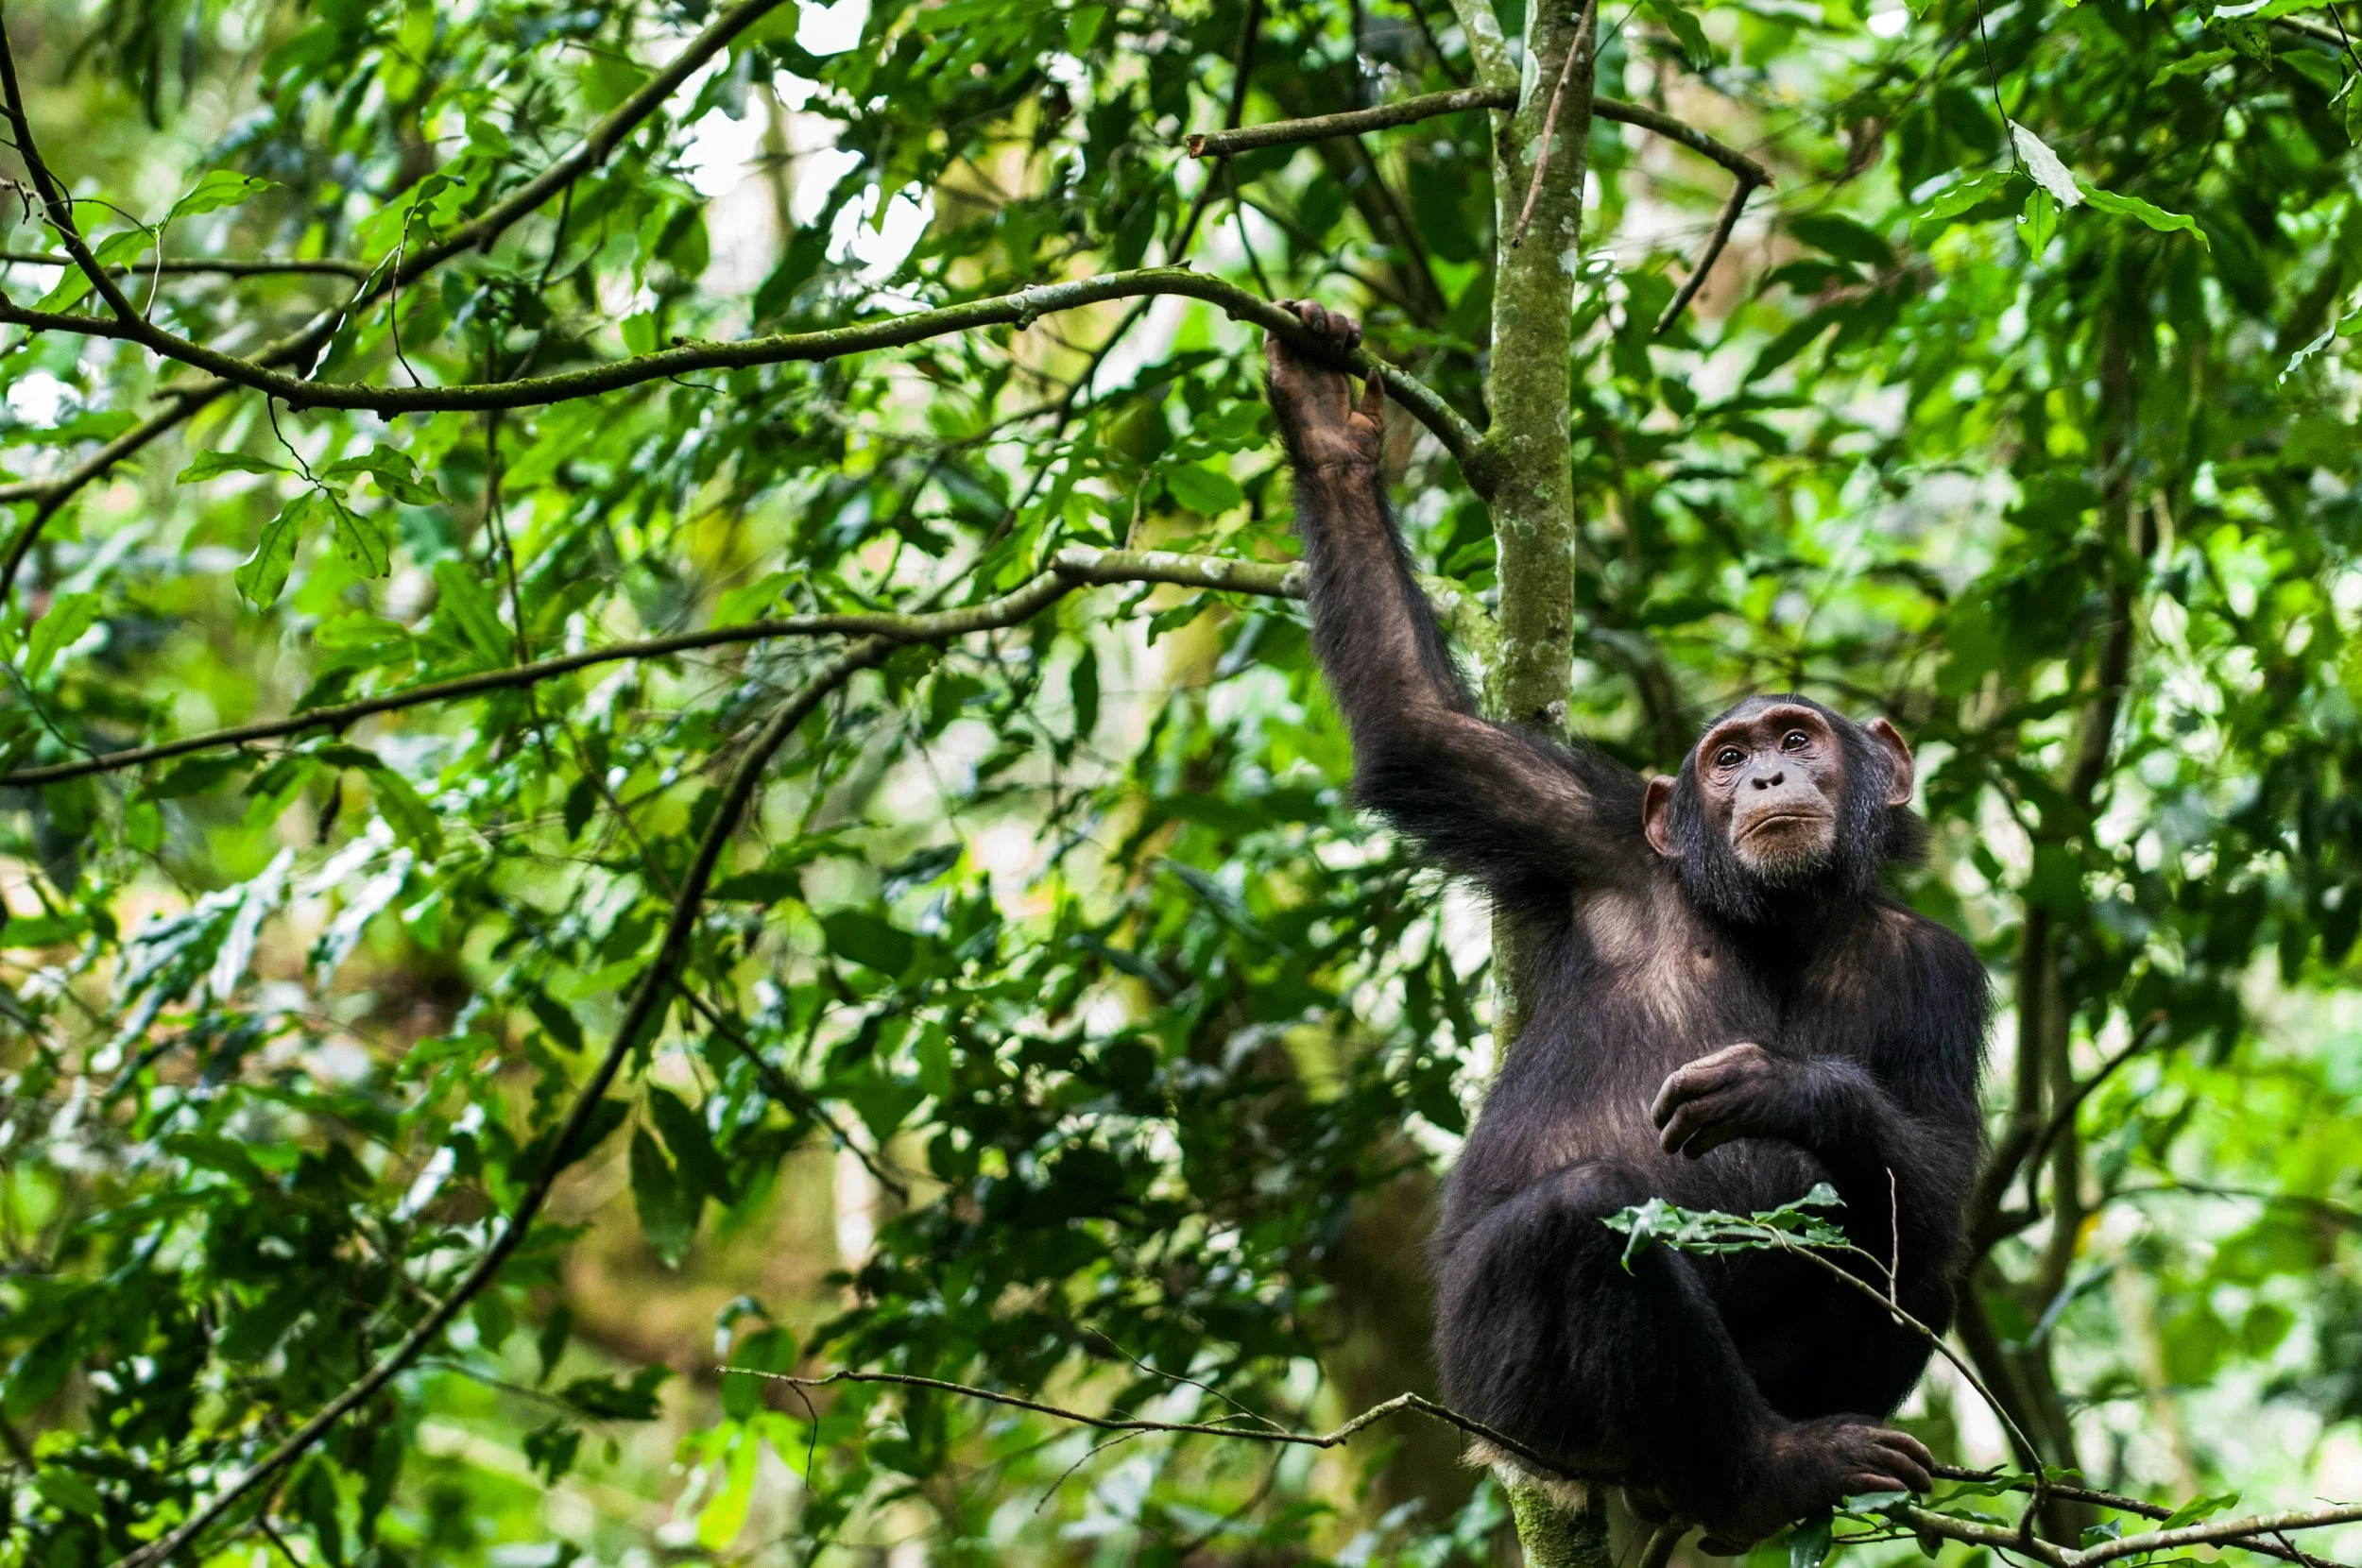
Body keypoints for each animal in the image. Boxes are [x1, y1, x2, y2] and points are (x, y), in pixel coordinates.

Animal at [1262, 301, 1985, 1549]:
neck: (1775, 918)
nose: (1764, 779)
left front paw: (1786, 1088)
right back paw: (1765, 1475)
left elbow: (1936, 1178)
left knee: (1917, 1264)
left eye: (1798, 737)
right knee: (1583, 1216)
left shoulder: (1947, 968)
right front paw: (1326, 427)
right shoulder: (1590, 832)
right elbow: (1417, 728)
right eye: (1727, 757)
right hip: (1505, 1404)